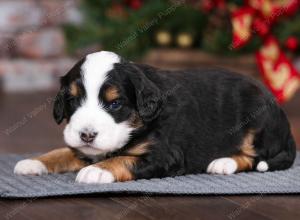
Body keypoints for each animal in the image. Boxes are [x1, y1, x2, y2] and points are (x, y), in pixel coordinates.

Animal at [13, 51, 296, 184]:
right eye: (72, 100)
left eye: (115, 104)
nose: (87, 135)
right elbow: (64, 151)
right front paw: (34, 162)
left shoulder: (165, 155)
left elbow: (124, 159)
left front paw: (97, 170)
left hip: (257, 123)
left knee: (255, 156)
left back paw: (223, 162)